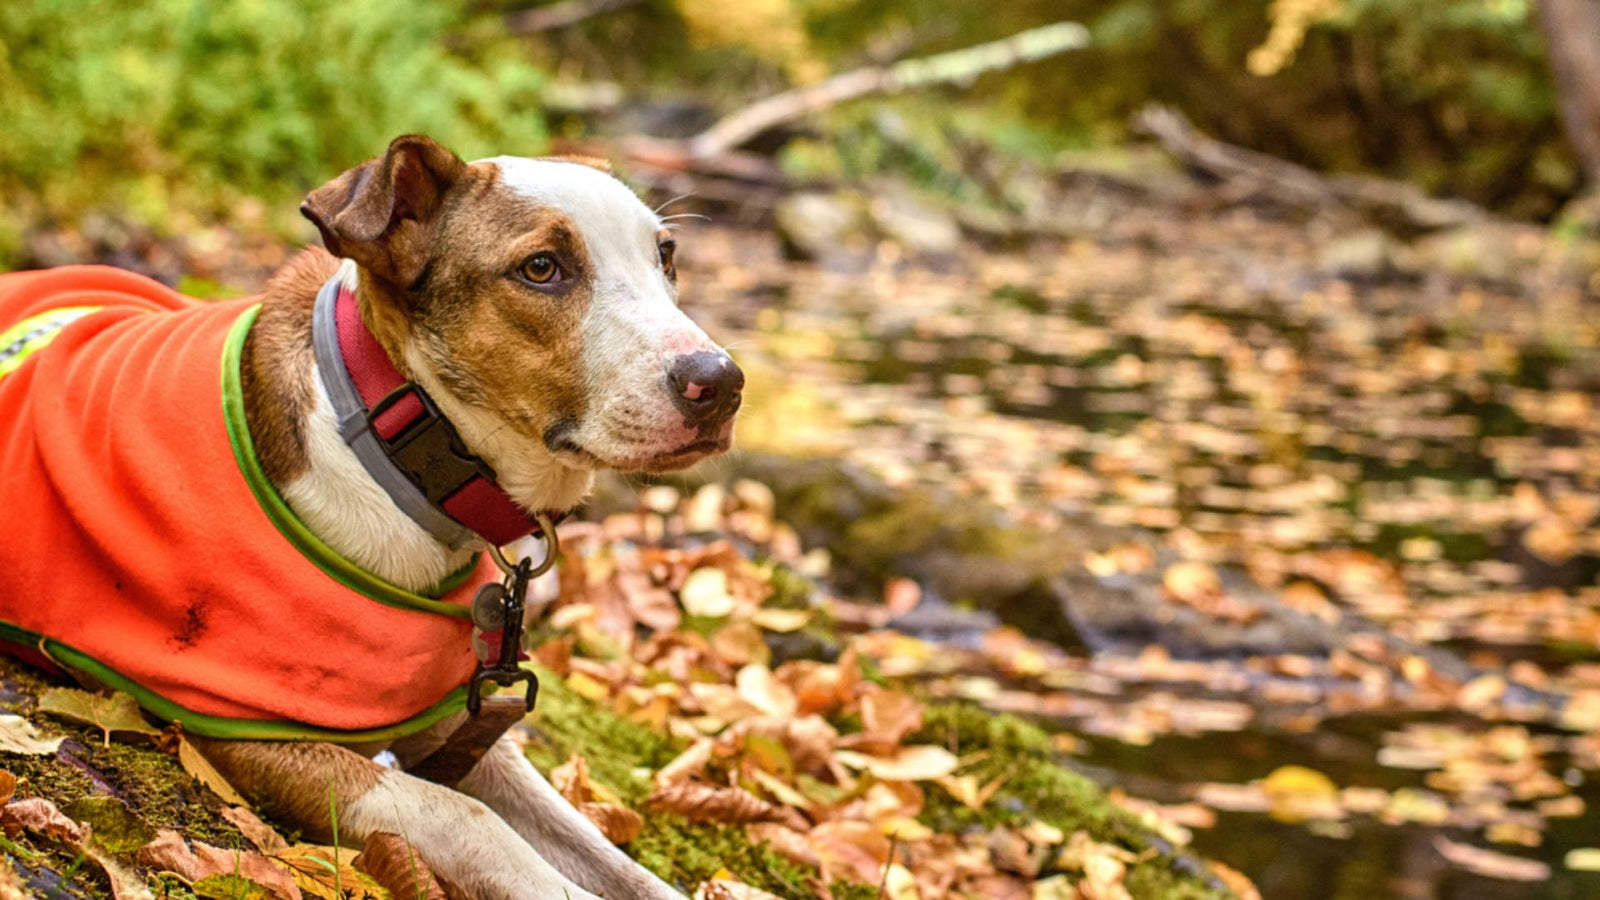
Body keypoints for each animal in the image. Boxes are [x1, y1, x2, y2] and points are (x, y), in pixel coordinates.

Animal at [192, 136, 736, 890]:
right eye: (541, 268)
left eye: (666, 255)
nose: (722, 383)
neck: (401, 450)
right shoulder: (248, 733)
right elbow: (471, 820)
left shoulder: (467, 731)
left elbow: (608, 857)